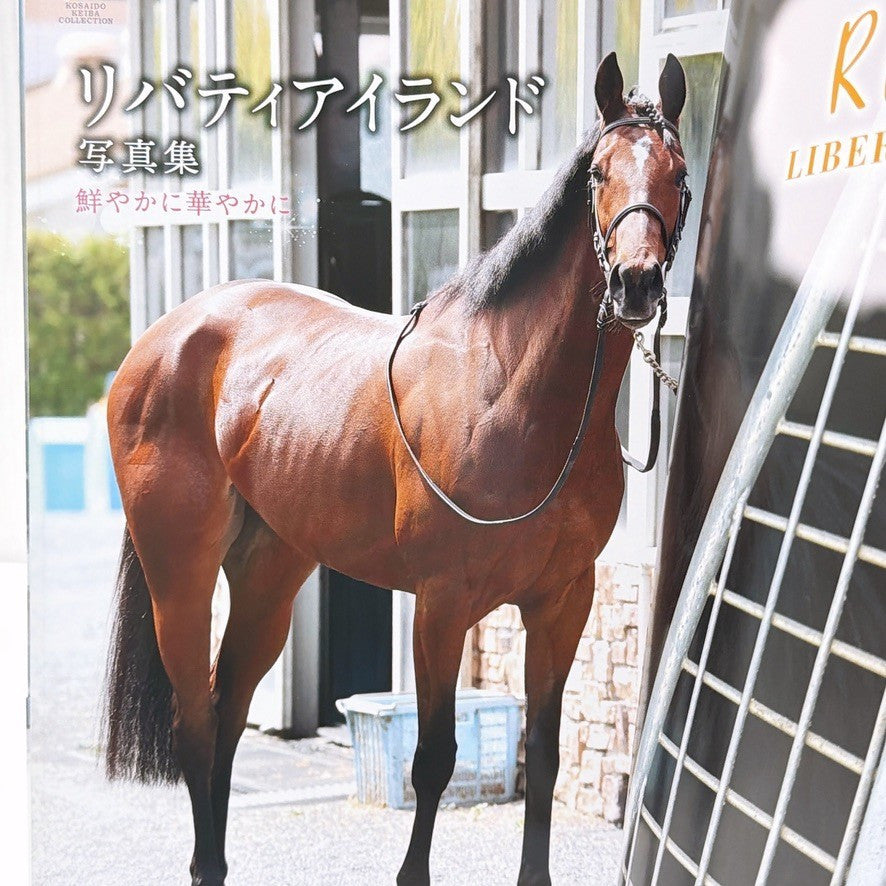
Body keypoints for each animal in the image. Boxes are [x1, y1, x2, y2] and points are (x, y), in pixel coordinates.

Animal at [102, 52, 688, 886]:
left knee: (227, 709)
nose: (635, 283)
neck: (511, 393)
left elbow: (542, 756)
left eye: (678, 172)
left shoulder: (561, 603)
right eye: (599, 172)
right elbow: (433, 761)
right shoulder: (441, 606)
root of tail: (162, 339)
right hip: (178, 573)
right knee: (194, 721)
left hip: (269, 572)